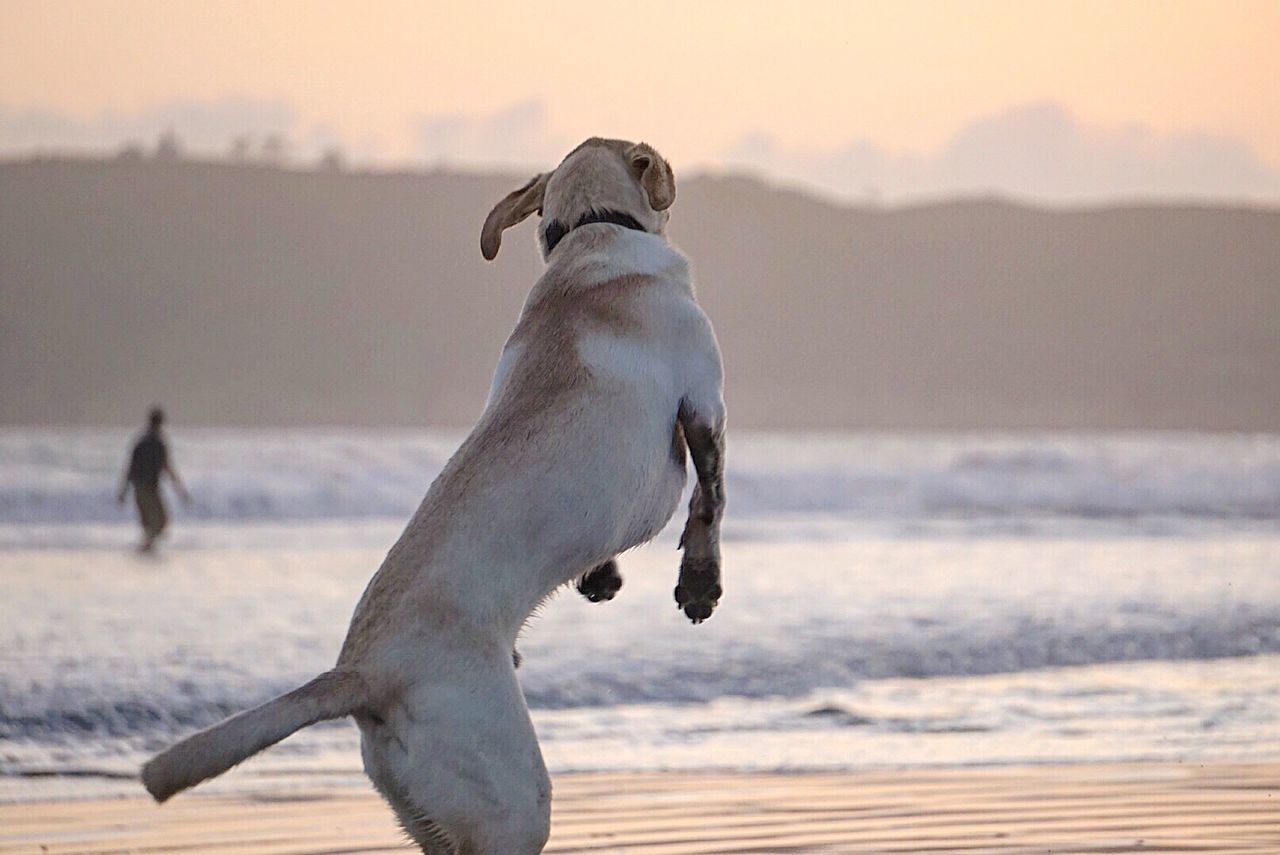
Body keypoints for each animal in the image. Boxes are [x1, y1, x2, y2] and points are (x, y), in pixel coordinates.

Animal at [138, 136, 727, 849]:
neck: (594, 234)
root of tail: (363, 674)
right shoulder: (703, 399)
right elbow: (709, 501)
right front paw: (699, 587)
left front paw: (602, 576)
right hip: (511, 801)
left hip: (428, 804)